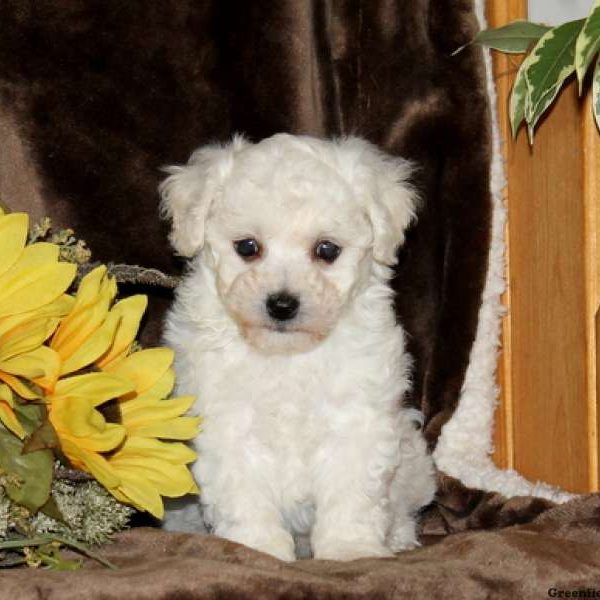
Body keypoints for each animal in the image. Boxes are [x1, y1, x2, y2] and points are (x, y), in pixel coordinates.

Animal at [159, 134, 436, 560]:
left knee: (404, 507)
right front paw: (257, 547)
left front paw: (350, 548)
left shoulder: (356, 419)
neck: (287, 355)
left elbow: (351, 493)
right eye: (247, 247)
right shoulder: (228, 423)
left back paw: (399, 538)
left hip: (414, 463)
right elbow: (243, 494)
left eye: (326, 250)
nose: (282, 304)